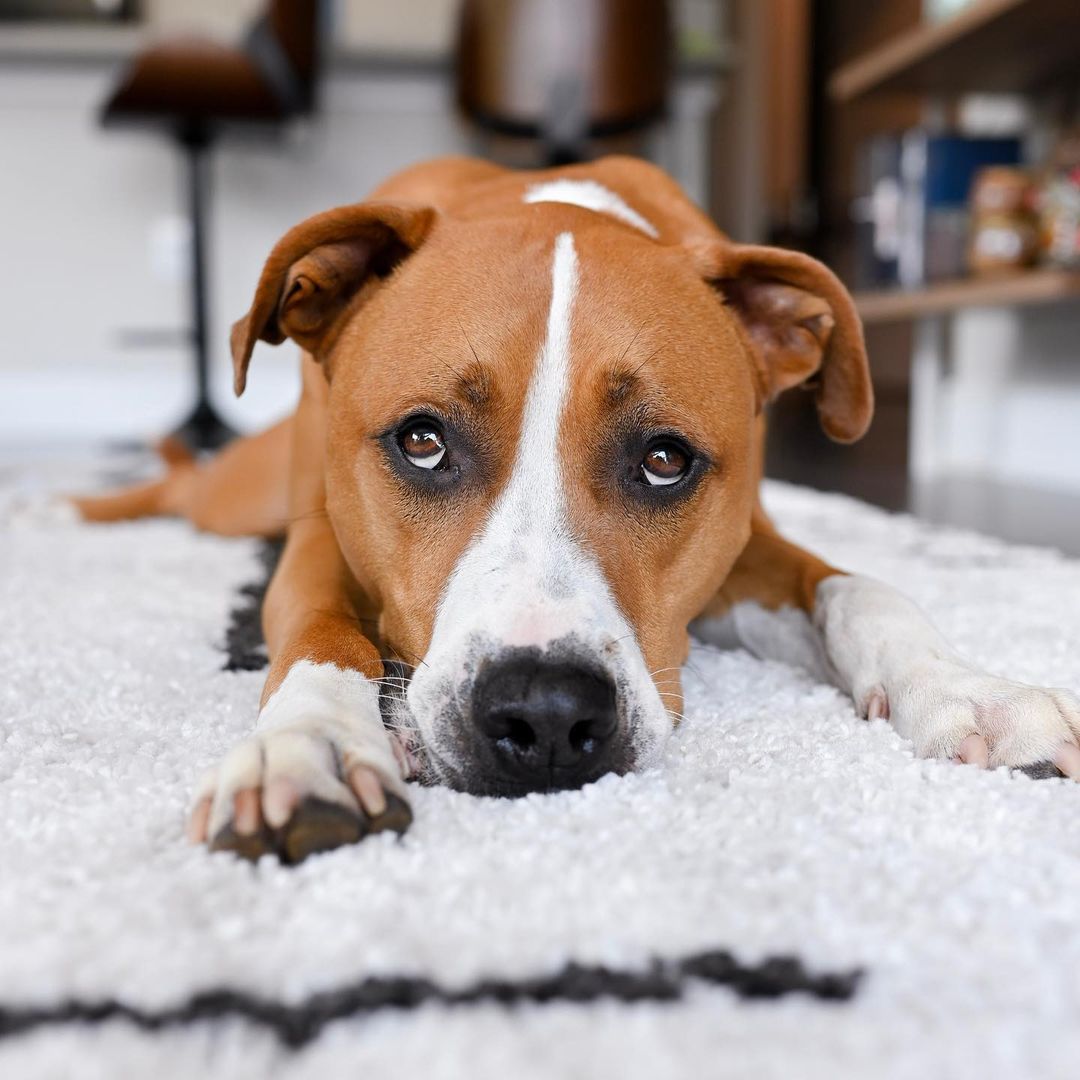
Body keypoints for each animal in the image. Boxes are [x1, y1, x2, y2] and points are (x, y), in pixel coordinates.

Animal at [73, 156, 1080, 859]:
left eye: (665, 460)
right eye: (422, 441)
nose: (546, 713)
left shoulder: (746, 544)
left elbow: (859, 589)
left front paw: (967, 689)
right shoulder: (319, 539)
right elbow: (323, 635)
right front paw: (309, 745)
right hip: (236, 495)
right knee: (177, 483)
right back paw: (69, 506)